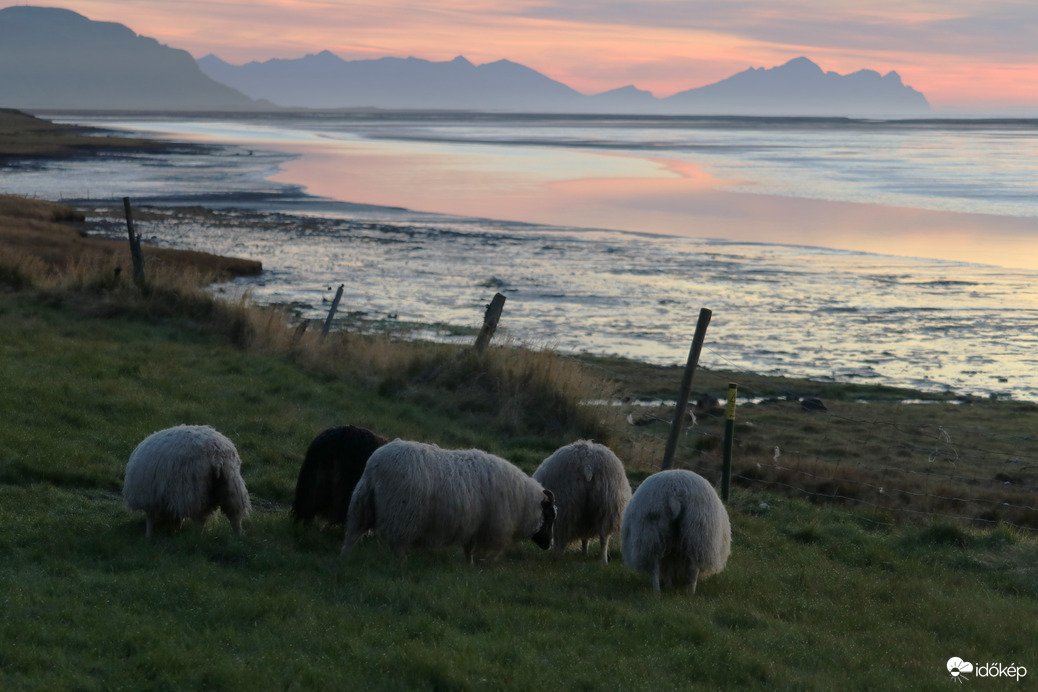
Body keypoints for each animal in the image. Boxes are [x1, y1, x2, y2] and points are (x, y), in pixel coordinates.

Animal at [120, 425, 250, 539]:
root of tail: (216, 455)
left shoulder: (149, 498)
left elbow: (149, 518)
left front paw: (148, 535)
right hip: (231, 486)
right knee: (234, 516)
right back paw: (239, 536)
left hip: (194, 491)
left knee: (199, 519)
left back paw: (197, 537)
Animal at [340, 441, 556, 564]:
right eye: (550, 517)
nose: (549, 546)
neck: (523, 501)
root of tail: (375, 465)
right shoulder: (495, 527)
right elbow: (495, 551)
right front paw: (484, 563)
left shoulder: (474, 525)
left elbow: (469, 549)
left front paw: (469, 565)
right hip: (402, 515)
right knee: (398, 545)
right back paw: (403, 563)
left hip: (361, 506)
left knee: (352, 536)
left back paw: (344, 559)